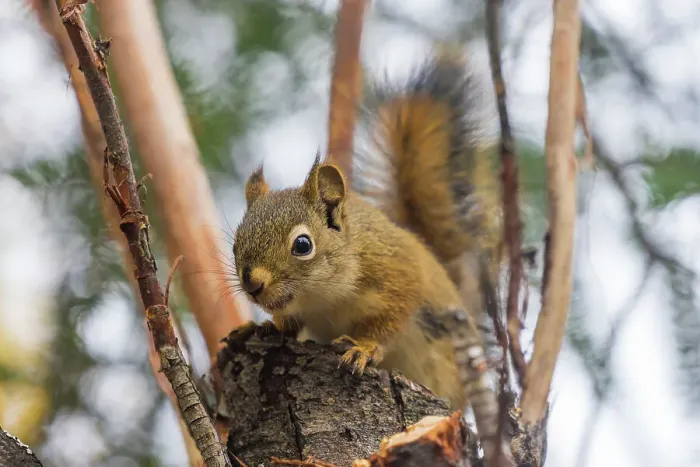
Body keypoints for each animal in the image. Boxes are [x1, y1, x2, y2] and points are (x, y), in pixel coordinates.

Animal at [232, 48, 503, 410]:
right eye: (235, 244)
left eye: (302, 245)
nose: (253, 284)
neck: (323, 299)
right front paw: (266, 327)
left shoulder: (398, 275)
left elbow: (389, 321)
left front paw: (363, 348)